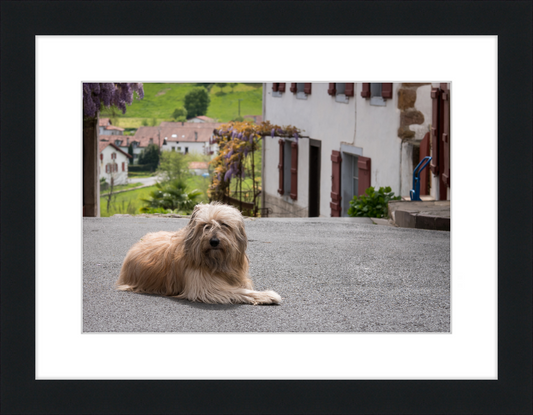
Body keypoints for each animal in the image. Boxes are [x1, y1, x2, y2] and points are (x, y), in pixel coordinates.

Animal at [116, 202, 282, 306]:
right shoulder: (205, 288)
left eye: (224, 225)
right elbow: (240, 291)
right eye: (205, 226)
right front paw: (268, 296)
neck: (216, 261)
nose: (214, 241)